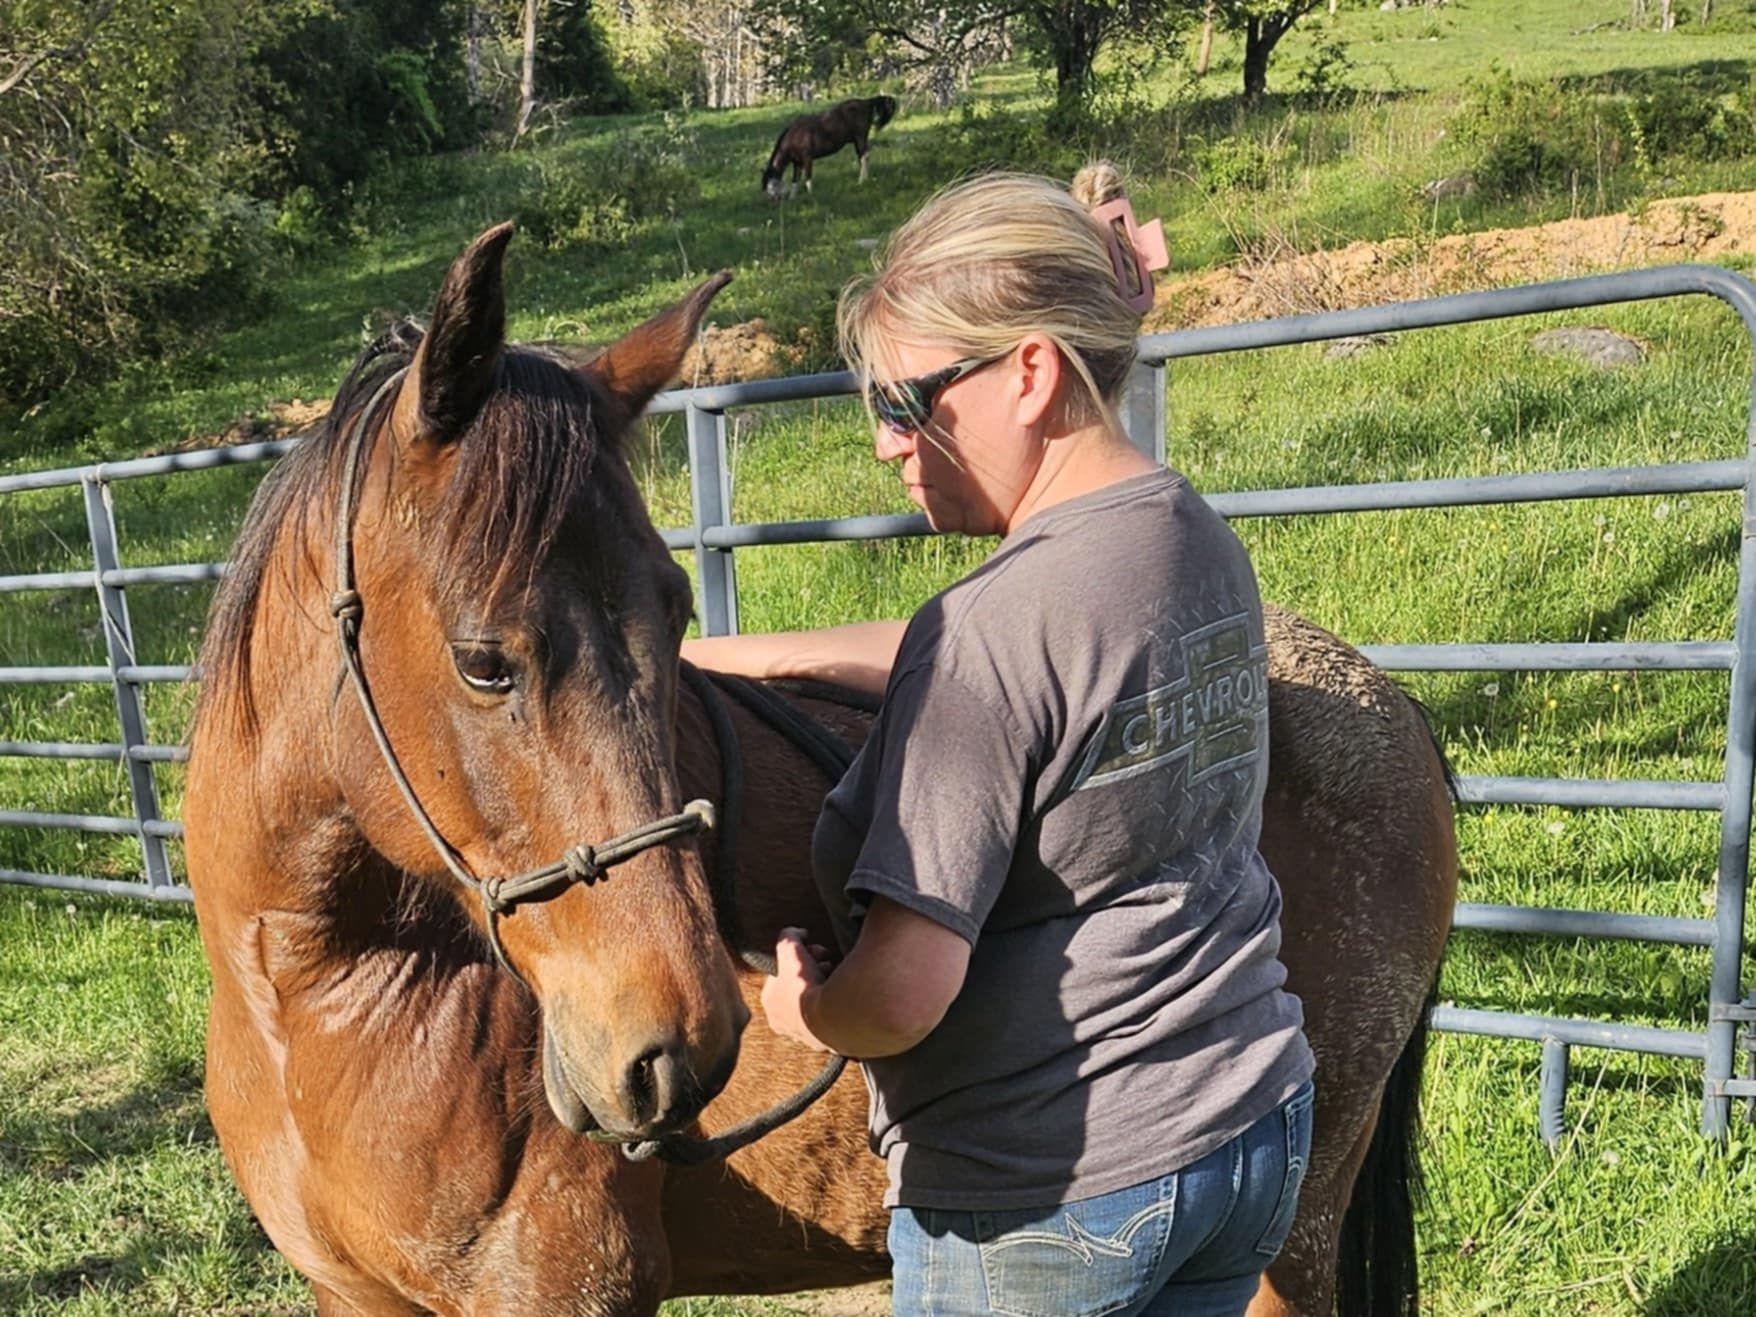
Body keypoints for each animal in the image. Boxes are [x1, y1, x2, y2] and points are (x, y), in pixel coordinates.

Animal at [186, 221, 1457, 1316]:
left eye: (672, 611)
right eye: (483, 661)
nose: (678, 1045)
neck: (322, 996)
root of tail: (1384, 702)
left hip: (1296, 1227)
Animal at [761, 95, 897, 199]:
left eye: (772, 184)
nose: (774, 200)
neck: (795, 136)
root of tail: (866, 102)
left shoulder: (807, 159)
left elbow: (808, 177)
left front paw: (810, 195)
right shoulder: (797, 163)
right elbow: (795, 180)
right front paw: (792, 198)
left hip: (860, 137)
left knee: (864, 157)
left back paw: (860, 181)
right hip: (857, 140)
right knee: (864, 157)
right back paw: (865, 179)